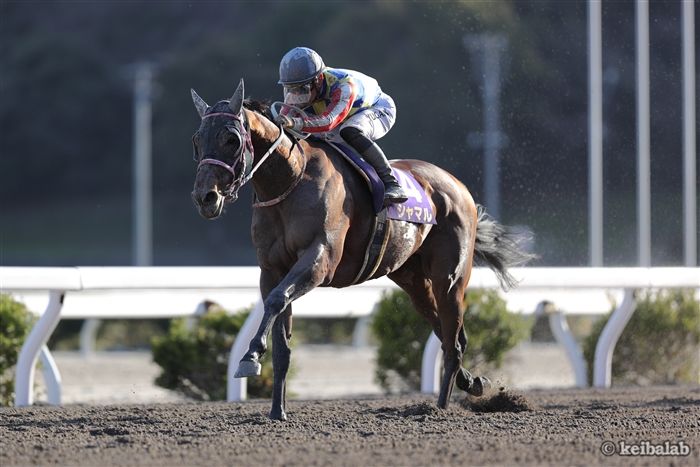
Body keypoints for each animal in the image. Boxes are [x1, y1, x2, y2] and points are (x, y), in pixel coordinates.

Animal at [190, 79, 533, 421]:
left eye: (232, 139)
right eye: (196, 140)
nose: (206, 197)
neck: (291, 181)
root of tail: (457, 185)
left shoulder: (320, 260)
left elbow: (276, 300)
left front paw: (250, 356)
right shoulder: (271, 270)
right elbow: (281, 340)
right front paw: (277, 412)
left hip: (449, 279)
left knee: (452, 339)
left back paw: (439, 410)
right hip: (413, 281)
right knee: (447, 332)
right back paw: (472, 382)